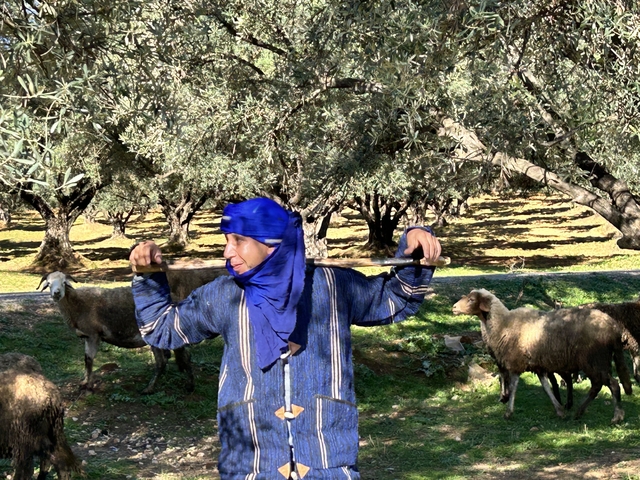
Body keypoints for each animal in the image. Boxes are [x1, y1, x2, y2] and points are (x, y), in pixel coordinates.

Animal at [37, 271, 199, 394]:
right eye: (49, 283)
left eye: (64, 283)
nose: (57, 293)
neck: (77, 304)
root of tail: (178, 298)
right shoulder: (87, 336)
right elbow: (86, 359)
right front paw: (84, 381)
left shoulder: (94, 335)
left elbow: (90, 360)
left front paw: (89, 386)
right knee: (175, 357)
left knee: (168, 360)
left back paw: (166, 387)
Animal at [452, 289, 631, 423]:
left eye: (471, 299)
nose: (453, 308)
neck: (503, 324)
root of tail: (613, 327)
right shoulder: (538, 366)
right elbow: (546, 387)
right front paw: (559, 410)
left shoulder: (515, 363)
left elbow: (514, 386)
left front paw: (508, 411)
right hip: (595, 362)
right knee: (597, 385)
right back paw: (579, 411)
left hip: (594, 360)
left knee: (611, 384)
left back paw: (616, 416)